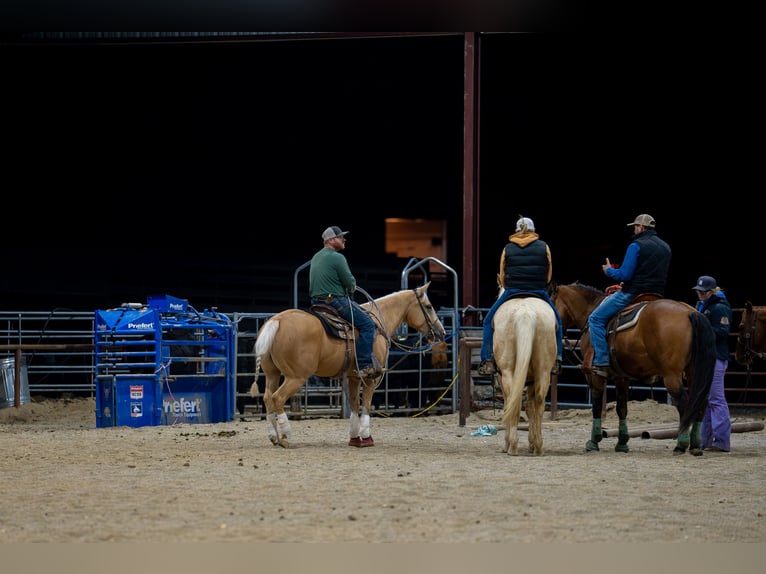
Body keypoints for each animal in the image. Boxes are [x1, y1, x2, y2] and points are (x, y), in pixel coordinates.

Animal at [252, 284, 448, 450]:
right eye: (428, 306)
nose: (442, 332)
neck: (378, 324)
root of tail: (277, 320)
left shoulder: (354, 377)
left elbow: (354, 405)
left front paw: (354, 438)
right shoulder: (372, 378)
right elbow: (366, 405)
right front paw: (367, 437)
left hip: (272, 374)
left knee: (268, 398)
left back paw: (274, 436)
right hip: (296, 377)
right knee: (278, 398)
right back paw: (285, 436)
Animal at [492, 294, 560, 456]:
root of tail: (525, 312)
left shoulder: (502, 378)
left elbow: (508, 405)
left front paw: (507, 444)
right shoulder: (532, 381)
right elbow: (530, 408)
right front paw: (532, 443)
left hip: (507, 372)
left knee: (513, 402)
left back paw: (512, 446)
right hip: (543, 372)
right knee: (540, 403)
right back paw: (539, 447)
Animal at [556, 284, 716, 460]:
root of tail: (690, 313)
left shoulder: (594, 375)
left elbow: (597, 406)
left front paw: (593, 441)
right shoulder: (621, 378)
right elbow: (622, 408)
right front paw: (622, 443)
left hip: (672, 376)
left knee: (685, 404)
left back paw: (681, 444)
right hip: (693, 372)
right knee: (701, 402)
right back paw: (695, 445)